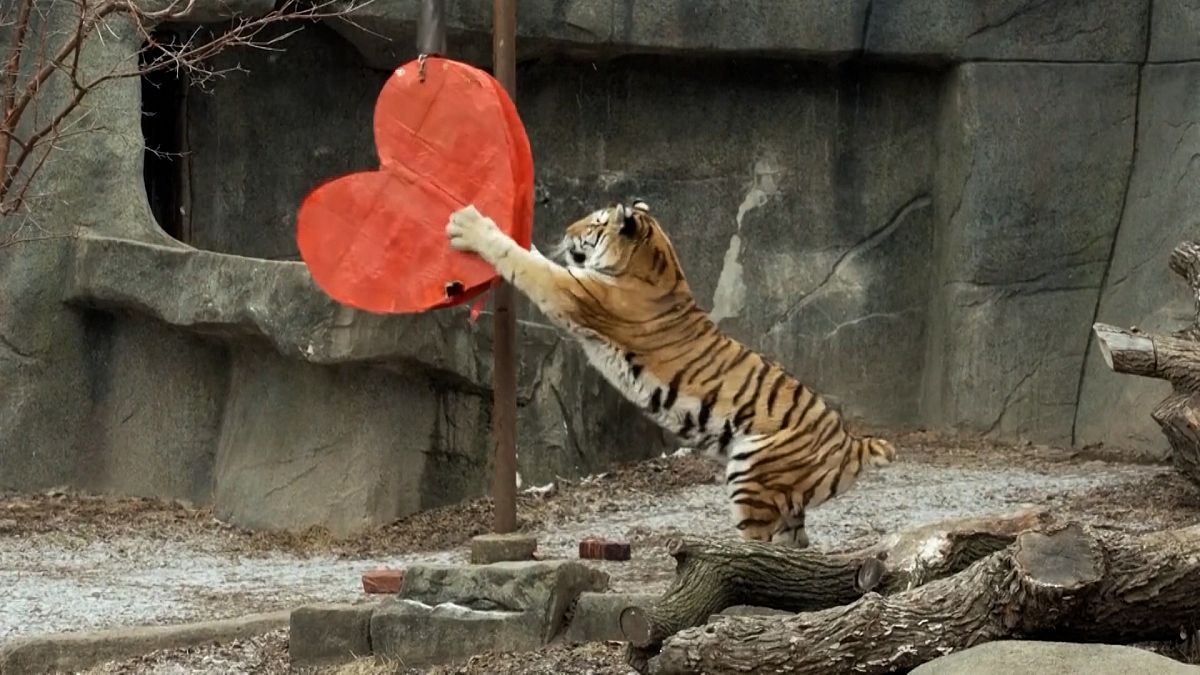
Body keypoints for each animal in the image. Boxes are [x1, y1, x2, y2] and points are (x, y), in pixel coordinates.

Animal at [446, 196, 897, 542]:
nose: (565, 229)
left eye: (595, 222)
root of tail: (852, 443)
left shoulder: (571, 290)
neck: (654, 260)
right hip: (786, 504)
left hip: (752, 477)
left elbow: (522, 259)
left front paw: (469, 226)